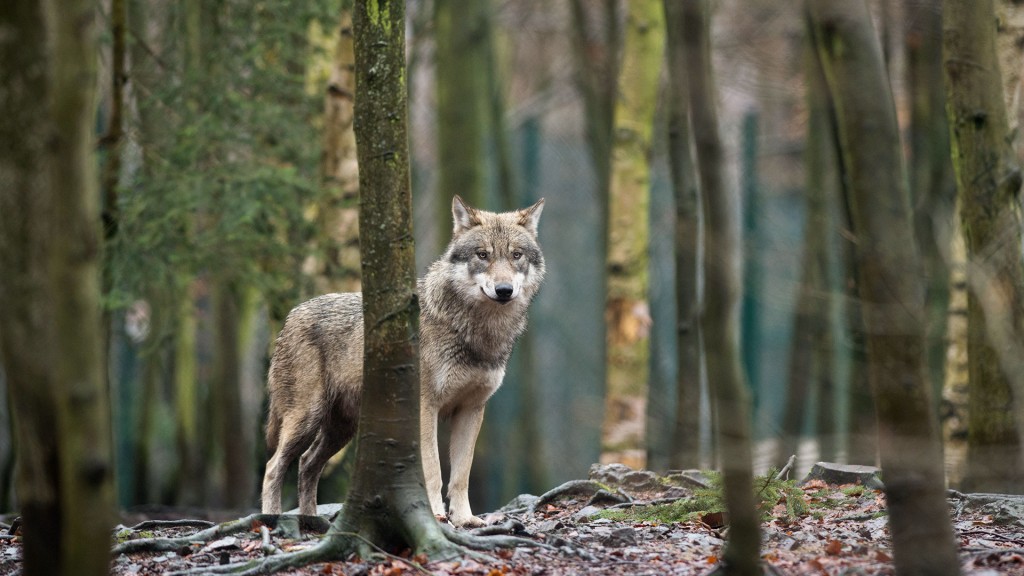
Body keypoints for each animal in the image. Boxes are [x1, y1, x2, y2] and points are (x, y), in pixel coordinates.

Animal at [258, 195, 544, 524]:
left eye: (516, 255)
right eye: (483, 255)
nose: (504, 290)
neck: (476, 332)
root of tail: (291, 315)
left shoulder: (472, 410)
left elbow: (461, 475)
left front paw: (464, 519)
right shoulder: (425, 407)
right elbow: (433, 470)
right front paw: (435, 516)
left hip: (341, 430)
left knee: (306, 464)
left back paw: (311, 520)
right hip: (306, 419)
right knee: (274, 466)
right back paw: (271, 518)